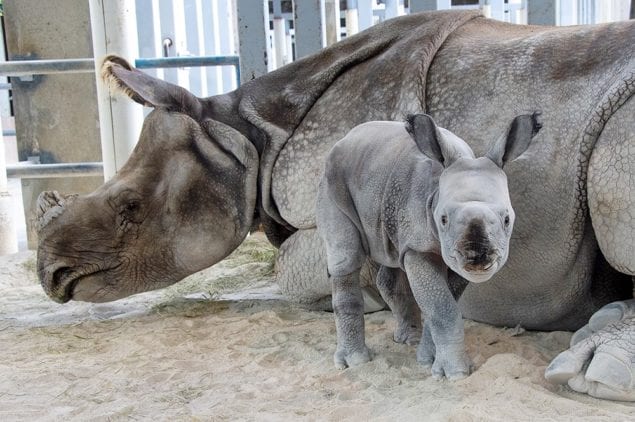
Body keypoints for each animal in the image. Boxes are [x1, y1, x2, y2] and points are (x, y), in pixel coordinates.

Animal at [318, 112, 540, 380]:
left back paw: (407, 339)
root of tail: (346, 137)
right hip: (332, 179)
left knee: (392, 258)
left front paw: (426, 358)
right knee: (346, 258)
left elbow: (444, 302)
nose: (478, 258)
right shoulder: (419, 247)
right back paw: (355, 361)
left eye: (507, 219)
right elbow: (442, 307)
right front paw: (455, 373)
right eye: (443, 219)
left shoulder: (451, 257)